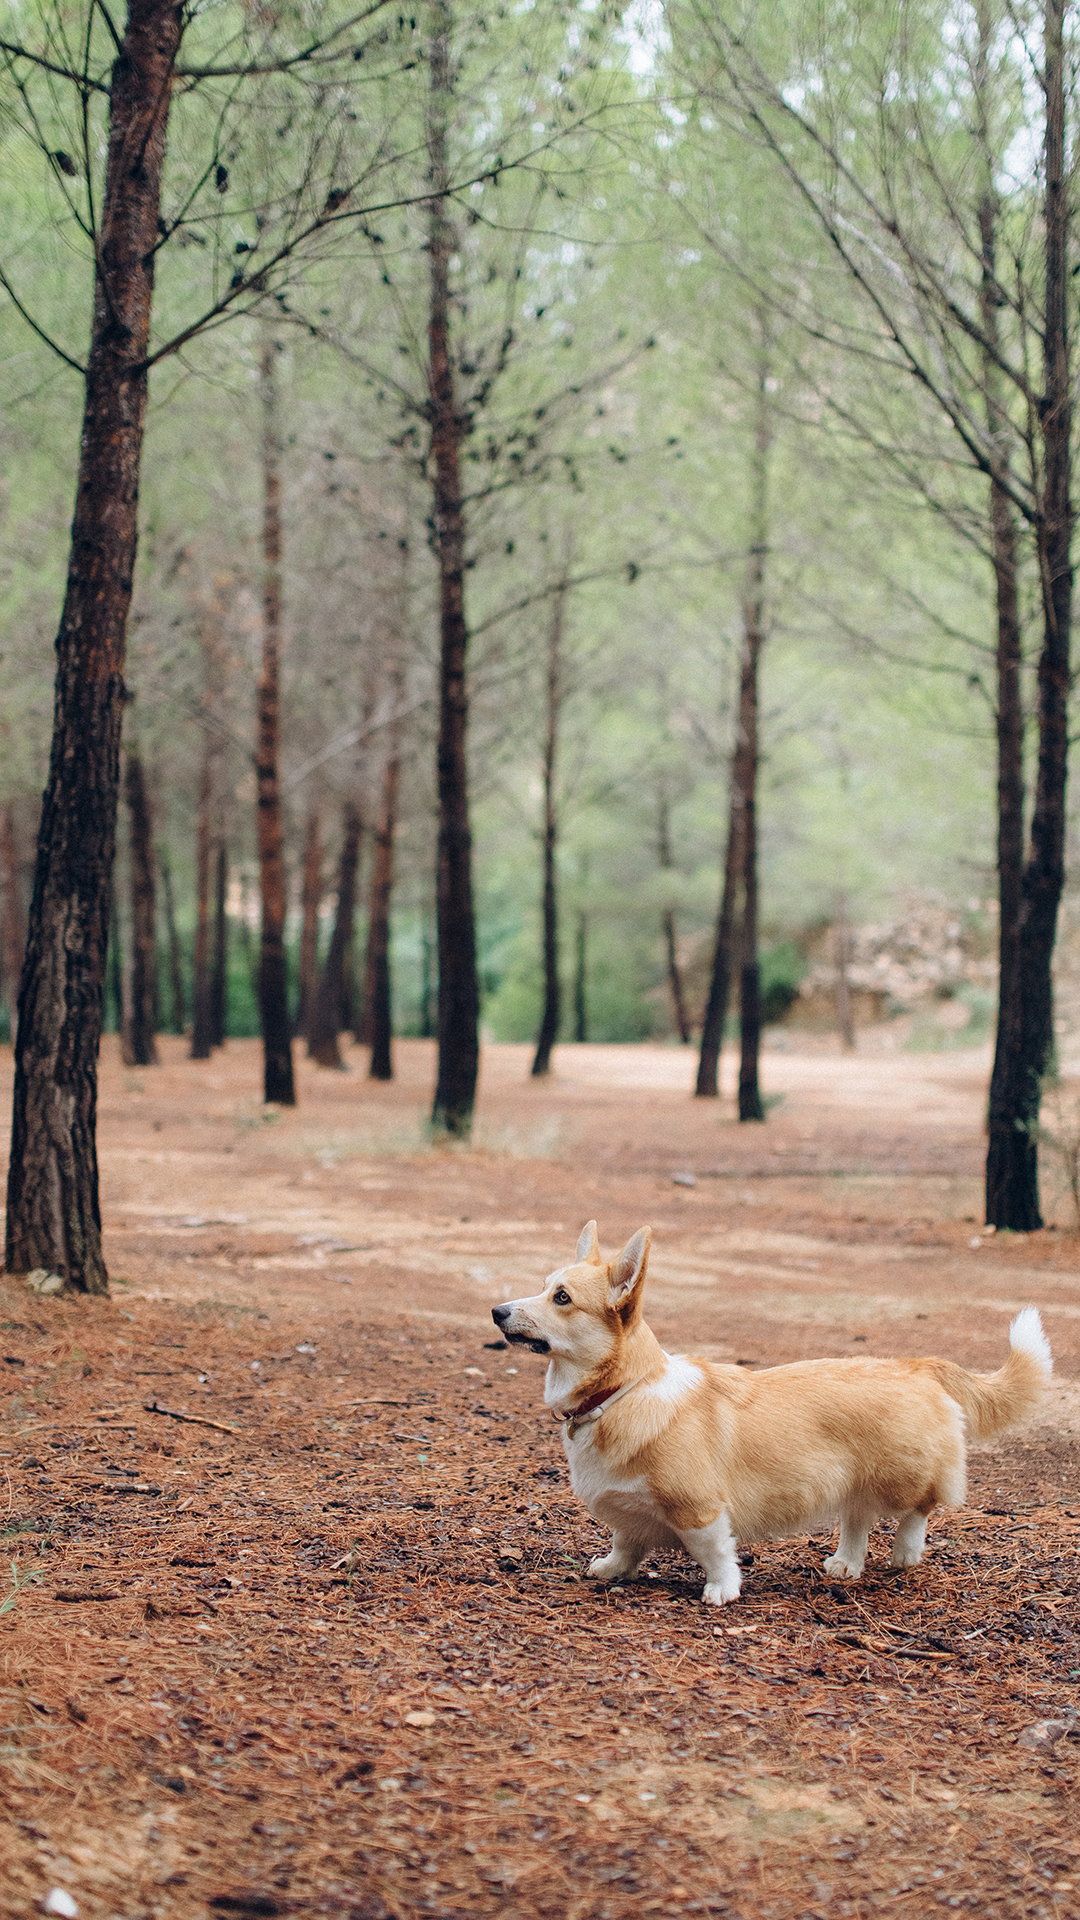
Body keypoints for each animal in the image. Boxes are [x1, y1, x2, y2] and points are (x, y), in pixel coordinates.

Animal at [491, 1221, 1045, 1597]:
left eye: (562, 1298)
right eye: (545, 1286)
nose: (496, 1311)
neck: (622, 1392)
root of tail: (918, 1365)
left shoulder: (698, 1508)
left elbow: (715, 1551)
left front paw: (721, 1590)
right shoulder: (629, 1515)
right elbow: (626, 1541)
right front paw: (611, 1569)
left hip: (902, 1475)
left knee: (919, 1507)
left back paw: (906, 1553)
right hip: (853, 1479)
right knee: (858, 1517)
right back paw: (846, 1563)